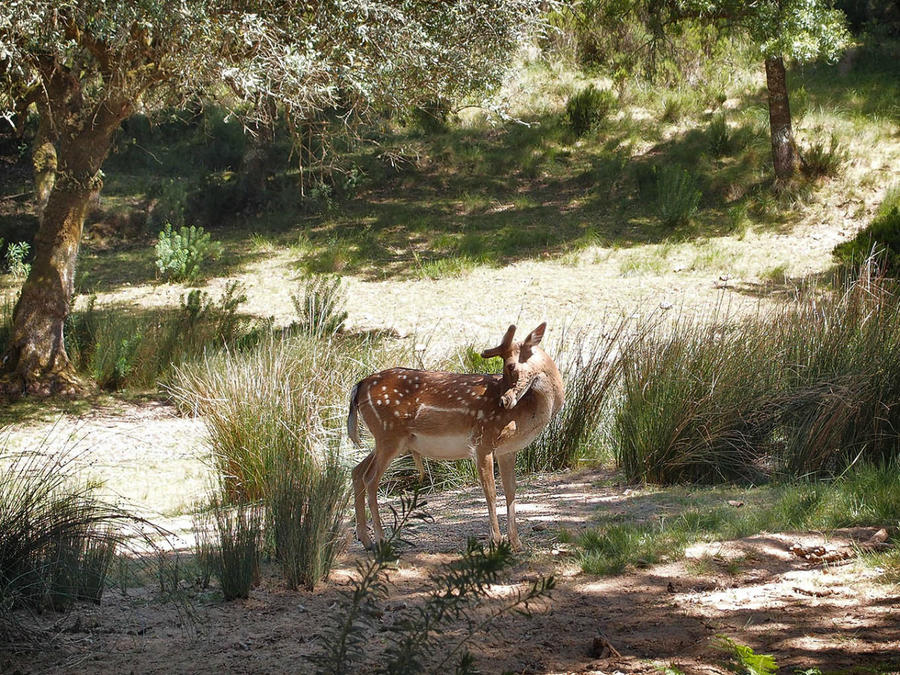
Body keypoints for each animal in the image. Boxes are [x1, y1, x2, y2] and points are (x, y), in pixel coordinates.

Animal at [346, 324, 564, 552]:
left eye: (511, 366)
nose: (504, 401)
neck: (524, 414)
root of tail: (359, 385)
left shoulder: (507, 451)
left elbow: (511, 490)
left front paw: (516, 543)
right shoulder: (482, 440)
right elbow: (490, 491)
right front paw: (496, 541)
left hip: (388, 440)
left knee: (357, 470)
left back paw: (366, 539)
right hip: (389, 434)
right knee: (370, 478)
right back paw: (380, 540)